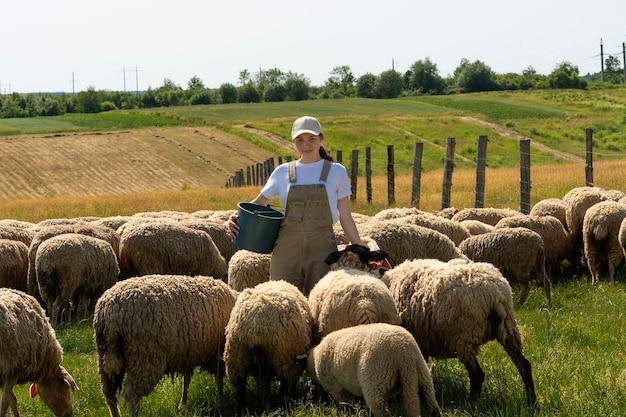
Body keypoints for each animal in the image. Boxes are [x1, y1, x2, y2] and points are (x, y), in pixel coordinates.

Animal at [93, 272, 236, 416]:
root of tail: (110, 312)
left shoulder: (188, 353)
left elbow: (186, 380)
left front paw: (183, 405)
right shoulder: (218, 355)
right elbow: (219, 379)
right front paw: (222, 401)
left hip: (104, 356)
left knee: (109, 394)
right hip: (145, 356)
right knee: (131, 395)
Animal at [223, 280, 312, 412]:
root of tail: (255, 329)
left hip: (237, 357)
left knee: (240, 390)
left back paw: (247, 410)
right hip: (283, 357)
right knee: (283, 389)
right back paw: (283, 408)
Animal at [304, 322, 438, 416]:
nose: (310, 387)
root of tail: (403, 352)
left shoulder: (335, 387)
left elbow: (347, 402)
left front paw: (352, 411)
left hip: (376, 378)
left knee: (382, 410)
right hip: (422, 372)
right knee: (431, 403)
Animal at [382, 258, 532, 404]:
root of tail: (496, 295)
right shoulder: (422, 342)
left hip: (463, 337)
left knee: (478, 375)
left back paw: (472, 404)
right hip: (508, 329)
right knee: (524, 366)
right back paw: (531, 402)